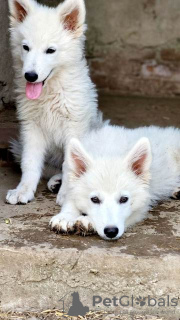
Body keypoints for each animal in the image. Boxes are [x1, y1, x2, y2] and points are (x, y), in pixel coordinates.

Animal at [6, 0, 101, 205]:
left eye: (50, 51)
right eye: (25, 47)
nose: (30, 76)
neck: (50, 91)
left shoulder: (73, 126)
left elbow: (70, 164)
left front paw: (67, 194)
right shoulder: (31, 127)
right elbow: (30, 163)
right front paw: (23, 190)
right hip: (18, 147)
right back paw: (55, 181)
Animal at [49, 125, 180, 240]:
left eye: (124, 199)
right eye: (95, 199)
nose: (111, 231)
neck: (109, 152)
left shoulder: (141, 206)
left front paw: (88, 221)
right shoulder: (73, 185)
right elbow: (70, 200)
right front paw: (65, 217)